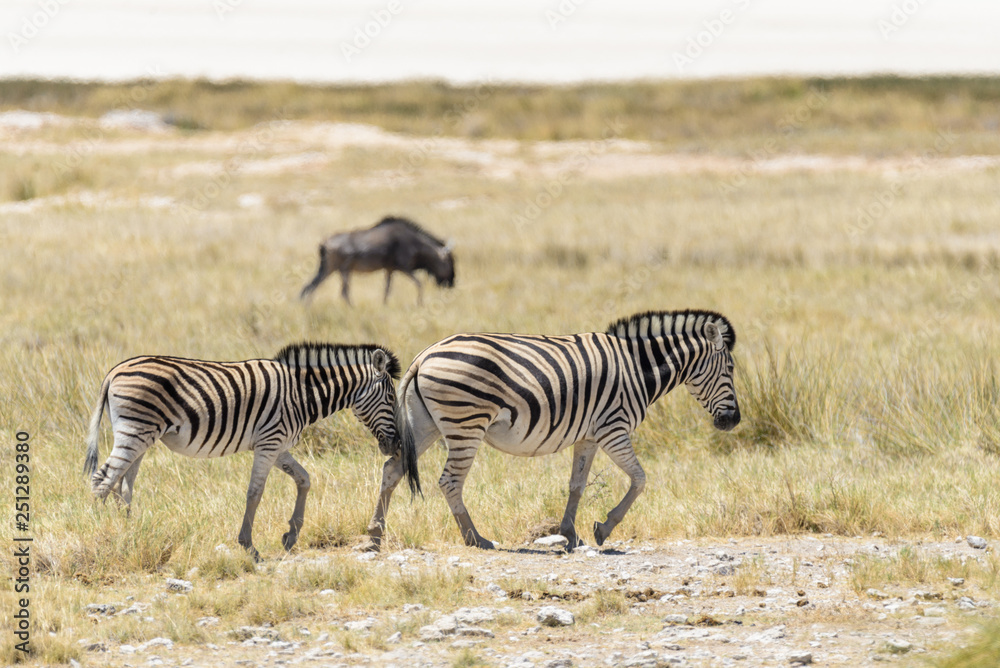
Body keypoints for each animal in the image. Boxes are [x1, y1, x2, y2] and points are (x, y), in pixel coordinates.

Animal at [83, 342, 401, 560]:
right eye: (390, 397)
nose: (395, 445)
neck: (301, 394)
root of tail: (114, 371)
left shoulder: (278, 446)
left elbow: (304, 479)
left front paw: (291, 535)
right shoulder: (270, 442)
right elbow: (255, 493)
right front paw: (249, 547)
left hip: (142, 434)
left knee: (123, 485)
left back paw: (127, 533)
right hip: (135, 430)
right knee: (102, 481)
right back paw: (101, 536)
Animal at [363, 310, 739, 551]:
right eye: (731, 369)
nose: (733, 421)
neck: (637, 368)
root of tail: (423, 356)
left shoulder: (589, 435)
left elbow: (577, 485)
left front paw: (571, 534)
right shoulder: (613, 428)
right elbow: (640, 479)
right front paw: (604, 528)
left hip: (424, 424)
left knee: (392, 469)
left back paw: (375, 535)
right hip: (465, 424)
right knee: (450, 482)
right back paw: (476, 539)